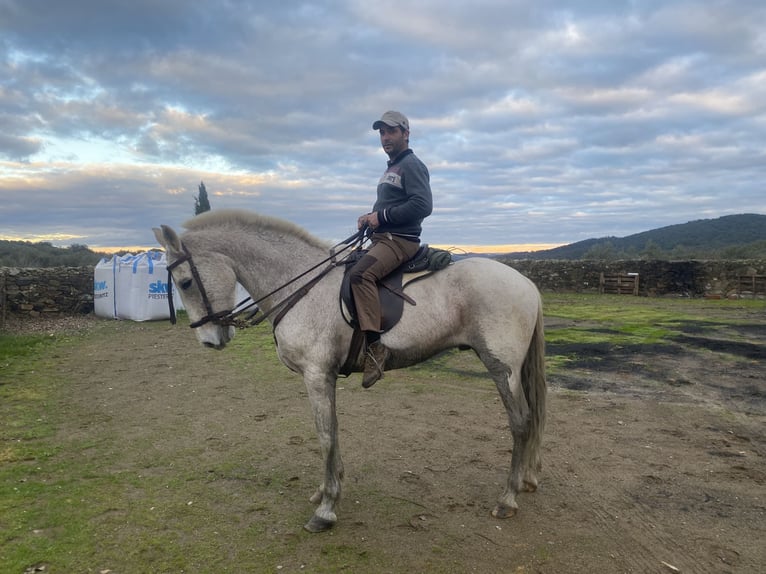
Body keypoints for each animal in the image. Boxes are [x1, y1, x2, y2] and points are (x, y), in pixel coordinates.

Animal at [153, 209, 546, 533]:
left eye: (185, 281)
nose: (209, 340)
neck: (301, 285)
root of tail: (527, 284)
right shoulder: (325, 377)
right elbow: (334, 432)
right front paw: (326, 491)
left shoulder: (316, 375)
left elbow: (325, 435)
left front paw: (326, 509)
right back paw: (526, 481)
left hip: (501, 368)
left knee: (521, 422)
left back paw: (507, 498)